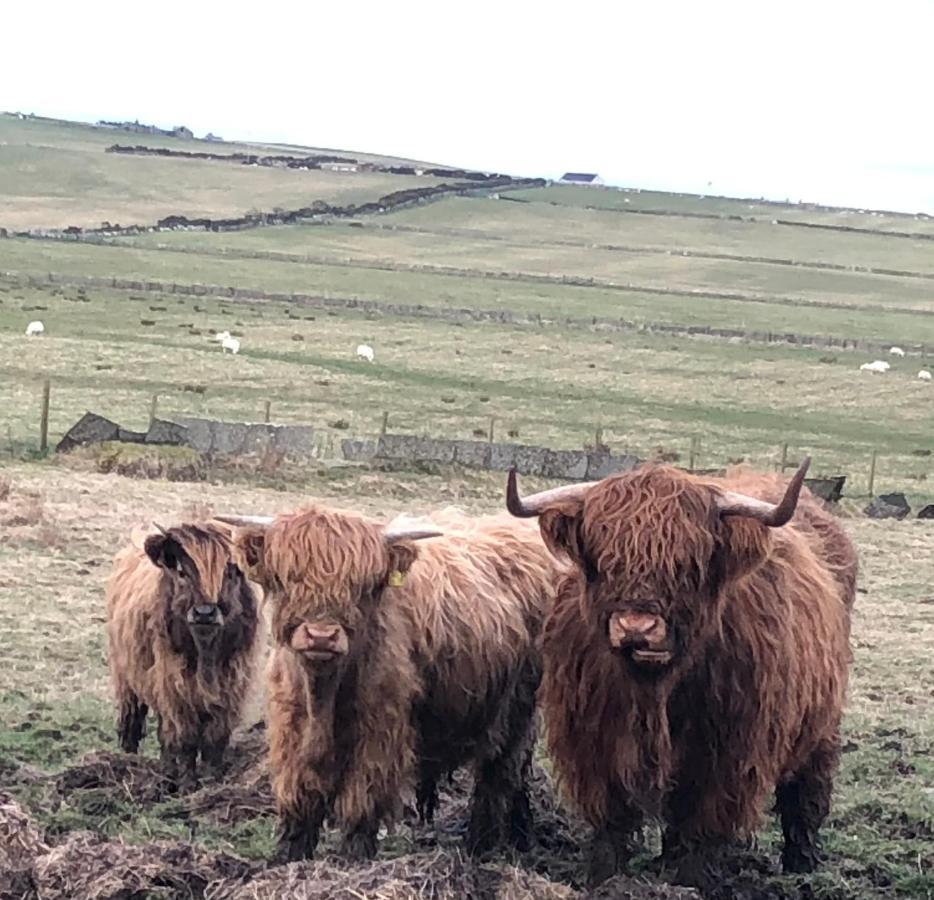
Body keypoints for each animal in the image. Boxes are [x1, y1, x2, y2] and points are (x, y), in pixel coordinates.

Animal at [104, 520, 262, 788]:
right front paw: (188, 784)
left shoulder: (230, 688)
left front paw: (211, 781)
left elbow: (215, 739)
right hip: (127, 678)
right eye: (181, 571)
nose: (204, 613)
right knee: (133, 721)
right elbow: (185, 738)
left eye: (231, 572)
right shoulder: (174, 688)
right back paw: (130, 761)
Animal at [227, 502, 564, 860]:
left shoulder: (380, 730)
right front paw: (288, 858)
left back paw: (479, 850)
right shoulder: (290, 723)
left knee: (497, 775)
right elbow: (299, 799)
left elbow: (360, 802)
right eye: (287, 577)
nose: (321, 636)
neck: (323, 693)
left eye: (362, 586)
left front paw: (354, 859)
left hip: (516, 708)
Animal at [508, 458, 860, 884]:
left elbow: (701, 824)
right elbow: (611, 819)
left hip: (823, 721)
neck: (654, 691)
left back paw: (802, 866)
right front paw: (604, 878)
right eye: (601, 559)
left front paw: (688, 883)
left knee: (807, 793)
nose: (637, 628)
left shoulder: (726, 752)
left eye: (687, 563)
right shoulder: (594, 739)